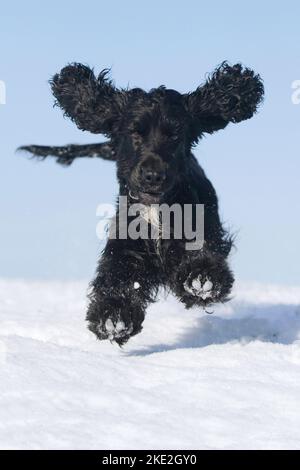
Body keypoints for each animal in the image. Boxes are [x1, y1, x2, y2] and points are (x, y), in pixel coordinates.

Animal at [21, 60, 264, 344]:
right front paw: (112, 317)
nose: (153, 174)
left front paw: (201, 278)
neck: (155, 211)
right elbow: (117, 277)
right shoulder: (125, 245)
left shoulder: (201, 228)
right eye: (135, 133)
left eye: (174, 135)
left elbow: (203, 255)